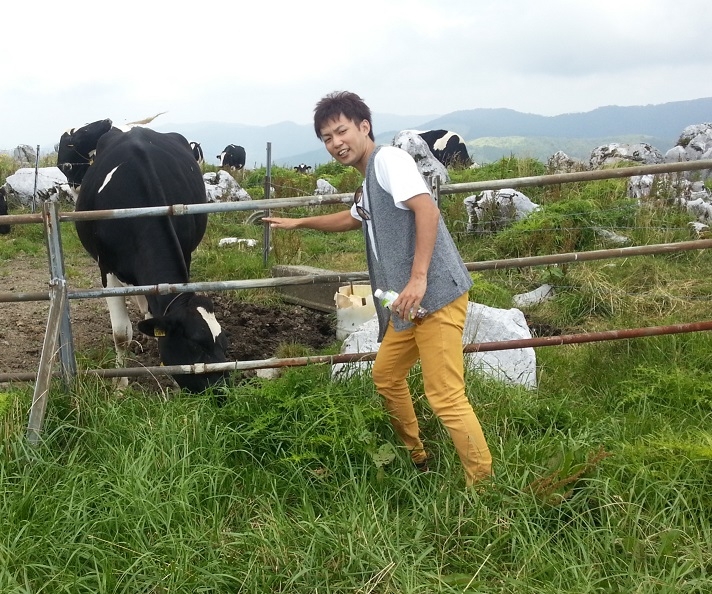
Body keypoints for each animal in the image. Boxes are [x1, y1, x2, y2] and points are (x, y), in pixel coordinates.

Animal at [58, 121, 230, 392]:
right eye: (195, 345)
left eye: (223, 342)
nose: (223, 391)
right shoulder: (107, 269)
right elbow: (121, 333)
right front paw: (120, 384)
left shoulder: (186, 252)